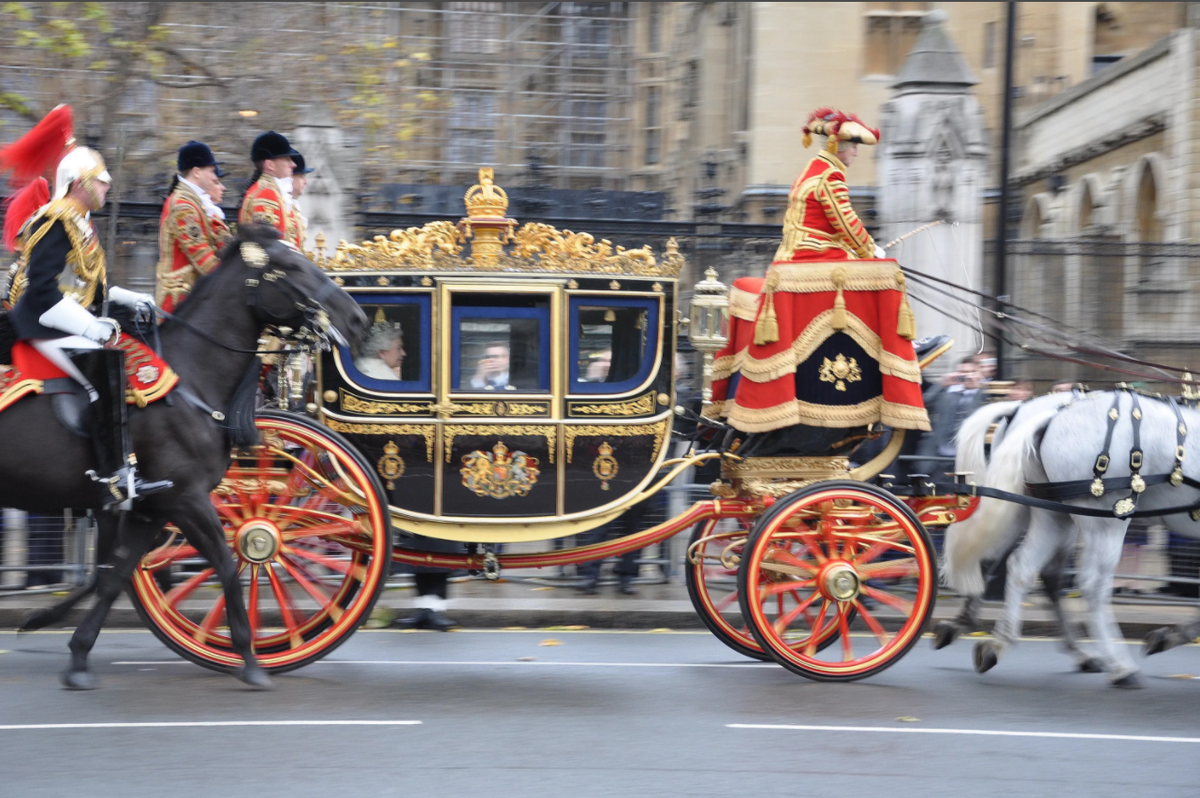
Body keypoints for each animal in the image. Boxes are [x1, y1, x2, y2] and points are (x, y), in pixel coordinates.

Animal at [0, 225, 367, 691]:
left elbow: (115, 575)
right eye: (291, 267)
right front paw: (249, 658)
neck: (192, 378)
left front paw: (78, 655)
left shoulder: (153, 508)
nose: (358, 319)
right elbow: (229, 563)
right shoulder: (186, 499)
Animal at [940, 391, 1195, 686]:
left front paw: (1167, 637)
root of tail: (1046, 414)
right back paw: (1119, 666)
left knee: (1017, 564)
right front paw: (1167, 638)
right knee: (1090, 585)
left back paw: (991, 641)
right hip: (1101, 520)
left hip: (1046, 511)